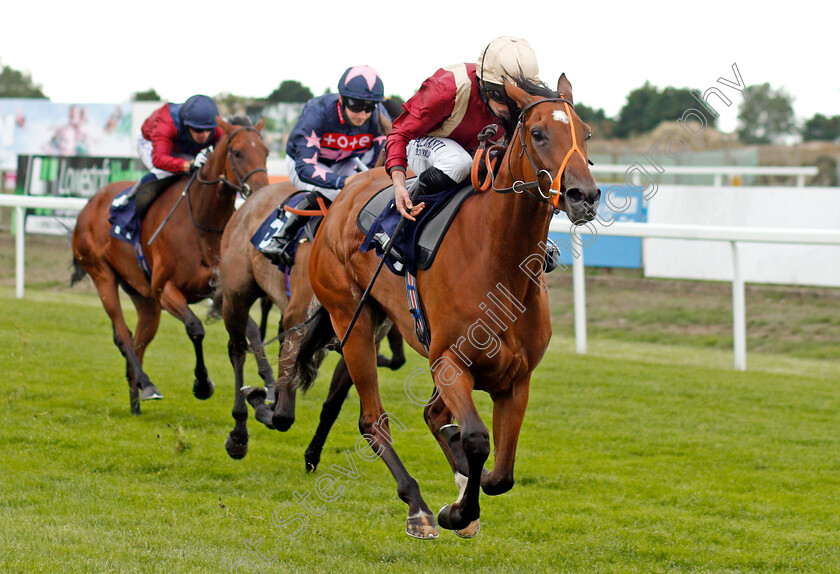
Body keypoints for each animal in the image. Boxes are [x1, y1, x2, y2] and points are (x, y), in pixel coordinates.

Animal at [73, 117, 270, 414]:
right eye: (237, 153)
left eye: (266, 152)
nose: (261, 192)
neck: (202, 222)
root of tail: (89, 204)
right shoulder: (166, 291)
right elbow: (196, 328)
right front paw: (202, 384)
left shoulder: (223, 290)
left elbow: (253, 329)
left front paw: (269, 378)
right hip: (102, 274)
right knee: (123, 335)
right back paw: (148, 384)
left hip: (144, 297)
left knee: (139, 340)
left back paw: (136, 399)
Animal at [218, 182, 406, 470]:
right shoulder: (299, 326)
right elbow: (284, 416)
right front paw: (261, 403)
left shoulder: (360, 340)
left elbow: (332, 404)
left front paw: (312, 454)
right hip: (236, 296)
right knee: (237, 350)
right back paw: (239, 433)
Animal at [298, 75, 600, 540]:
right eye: (537, 133)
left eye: (584, 133)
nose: (584, 194)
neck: (499, 263)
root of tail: (338, 202)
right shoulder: (449, 363)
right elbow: (475, 439)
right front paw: (455, 511)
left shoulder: (516, 379)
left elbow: (501, 475)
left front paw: (464, 499)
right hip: (353, 320)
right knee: (373, 419)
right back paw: (417, 507)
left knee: (431, 415)